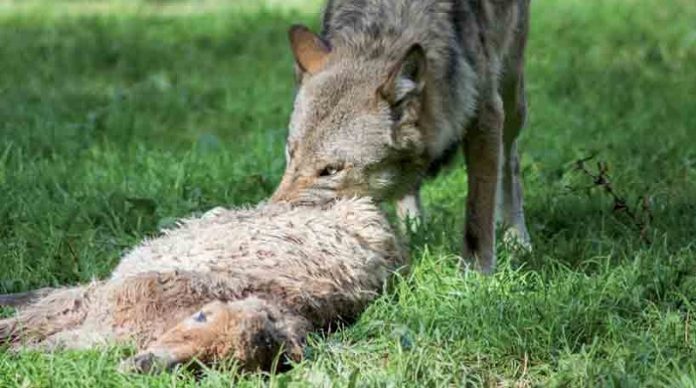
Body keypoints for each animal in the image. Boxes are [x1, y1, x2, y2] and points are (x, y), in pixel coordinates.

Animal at [0, 199, 408, 374]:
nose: (144, 366)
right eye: (199, 317)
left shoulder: (90, 330)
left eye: (209, 366)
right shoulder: (95, 307)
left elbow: (30, 344)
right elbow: (20, 327)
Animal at [272, 0, 532, 274]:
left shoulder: (485, 116)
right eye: (291, 153)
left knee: (510, 162)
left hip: (512, 98)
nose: (272, 218)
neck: (381, 33)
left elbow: (477, 217)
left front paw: (476, 275)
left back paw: (517, 239)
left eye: (330, 170)